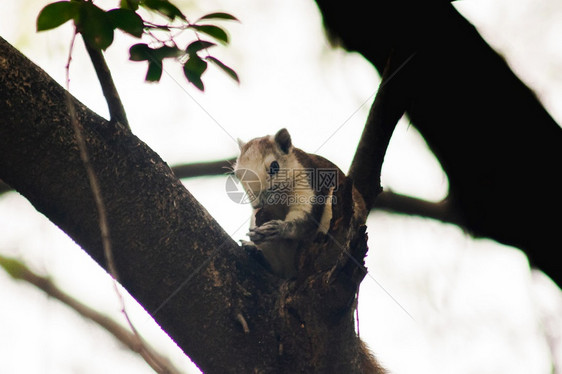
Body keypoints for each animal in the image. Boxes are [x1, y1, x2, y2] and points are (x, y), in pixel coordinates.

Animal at [233, 129, 368, 278]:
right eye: (237, 174)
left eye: (275, 166)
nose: (259, 202)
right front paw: (256, 236)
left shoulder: (310, 184)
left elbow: (305, 220)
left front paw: (280, 228)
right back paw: (256, 252)